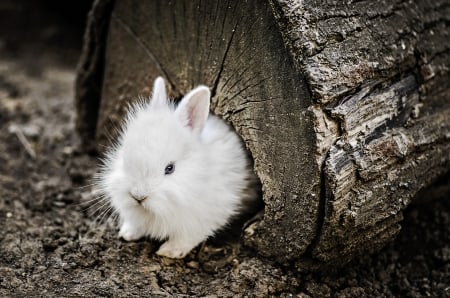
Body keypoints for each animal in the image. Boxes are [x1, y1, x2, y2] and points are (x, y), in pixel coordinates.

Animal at [97, 77, 260, 258]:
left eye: (170, 168)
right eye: (125, 156)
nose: (138, 196)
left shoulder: (203, 219)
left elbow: (186, 238)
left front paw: (168, 251)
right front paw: (127, 234)